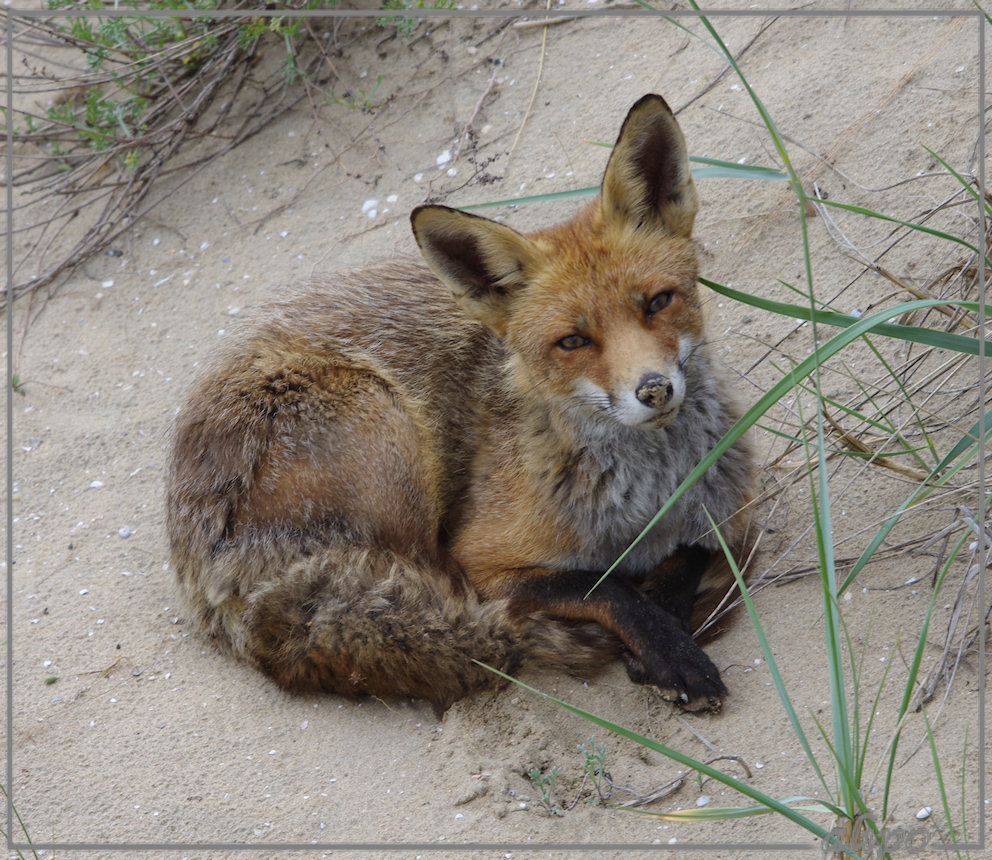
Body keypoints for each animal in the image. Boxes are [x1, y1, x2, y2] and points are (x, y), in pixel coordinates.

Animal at [167, 92, 752, 712]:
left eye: (659, 302)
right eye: (573, 341)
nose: (654, 389)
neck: (650, 497)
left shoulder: (731, 503)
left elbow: (695, 550)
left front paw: (669, 617)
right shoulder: (484, 560)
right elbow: (603, 587)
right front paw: (669, 648)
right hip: (388, 429)